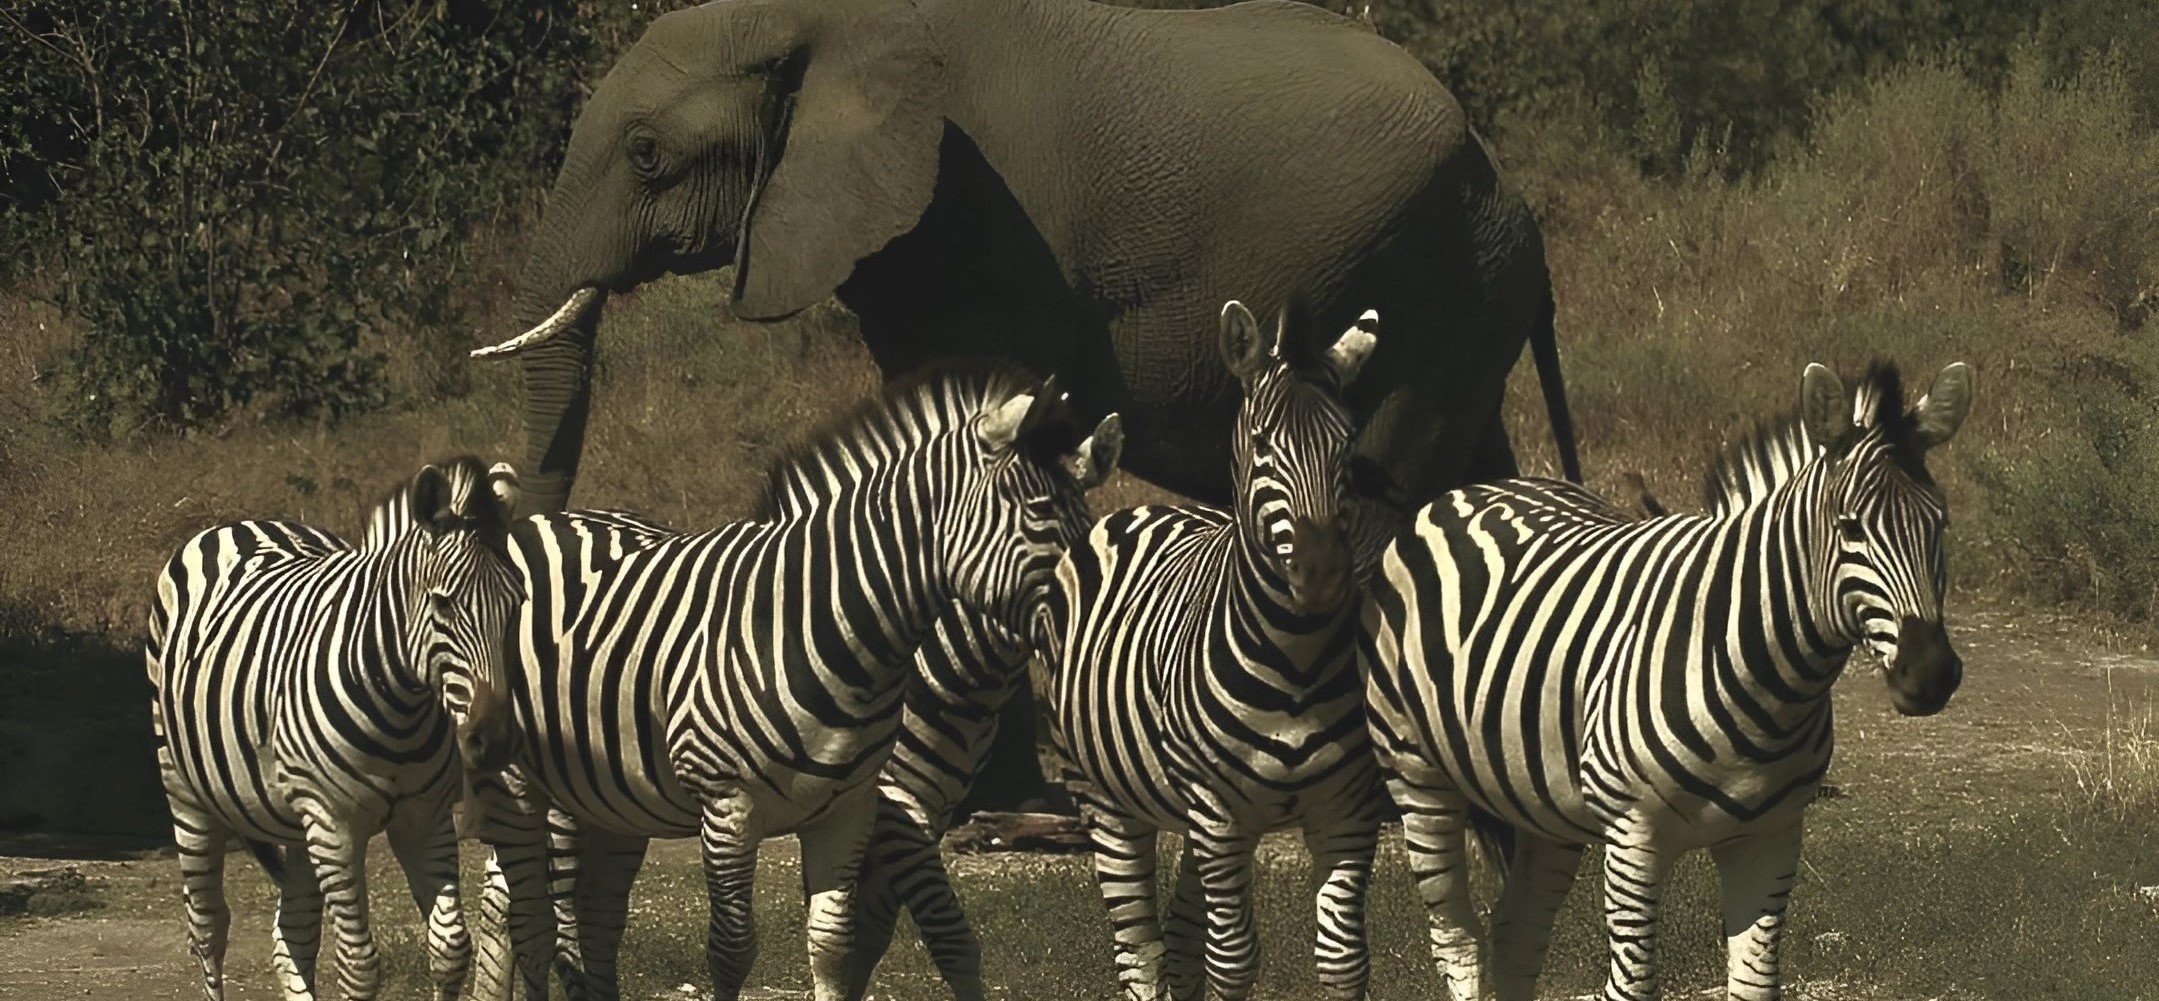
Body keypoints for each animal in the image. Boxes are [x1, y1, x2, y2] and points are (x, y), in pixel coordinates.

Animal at [147, 456, 524, 1001]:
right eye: (443, 604)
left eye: (518, 603)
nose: (494, 741)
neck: (401, 706)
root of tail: (240, 524)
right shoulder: (334, 825)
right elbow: (359, 965)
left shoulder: (423, 818)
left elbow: (450, 946)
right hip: (186, 794)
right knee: (208, 928)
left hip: (295, 820)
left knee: (292, 934)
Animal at [466, 365, 1122, 1001]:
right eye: (1040, 512)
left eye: (1090, 522)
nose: (1103, 616)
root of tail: (537, 520)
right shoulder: (809, 807)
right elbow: (928, 935)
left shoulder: (870, 808)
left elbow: (850, 944)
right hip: (533, 783)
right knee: (517, 907)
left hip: (613, 799)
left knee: (592, 914)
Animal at [1043, 300, 1386, 1001]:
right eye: (1263, 444)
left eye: (1346, 450)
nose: (1323, 578)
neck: (1296, 660)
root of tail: (1144, 509)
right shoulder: (1220, 813)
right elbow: (1233, 960)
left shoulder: (1347, 808)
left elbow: (1343, 960)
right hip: (1106, 800)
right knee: (1140, 953)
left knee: (1177, 945)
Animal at [1360, 360, 1973, 1001]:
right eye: (1849, 526)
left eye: (1941, 523)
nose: (1931, 674)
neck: (1769, 679)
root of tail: (1470, 490)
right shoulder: (1633, 839)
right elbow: (1632, 987)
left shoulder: (1771, 838)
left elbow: (1755, 986)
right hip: (1416, 775)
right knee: (1457, 942)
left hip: (1542, 805)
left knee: (1515, 934)